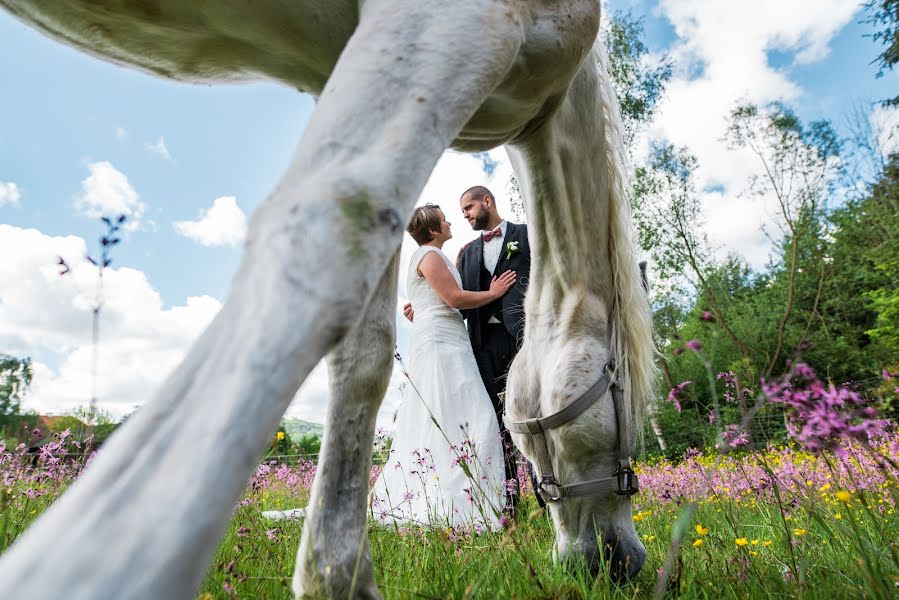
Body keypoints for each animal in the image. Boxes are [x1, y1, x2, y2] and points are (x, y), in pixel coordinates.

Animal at [0, 2, 652, 596]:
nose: (619, 561)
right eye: (630, 405)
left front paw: (335, 575)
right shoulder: (449, 24)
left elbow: (363, 358)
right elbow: (333, 218)